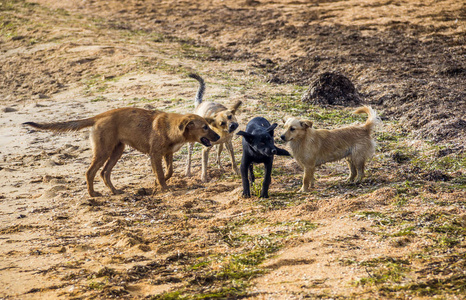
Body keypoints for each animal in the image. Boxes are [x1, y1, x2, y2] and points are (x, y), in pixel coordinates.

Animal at [25, 108, 220, 197]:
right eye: (205, 127)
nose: (218, 136)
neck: (172, 128)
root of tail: (98, 116)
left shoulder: (167, 154)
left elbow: (169, 171)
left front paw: (159, 183)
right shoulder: (155, 155)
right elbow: (160, 174)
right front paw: (164, 188)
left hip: (117, 151)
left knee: (104, 173)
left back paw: (114, 191)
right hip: (103, 151)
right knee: (90, 172)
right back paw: (92, 194)